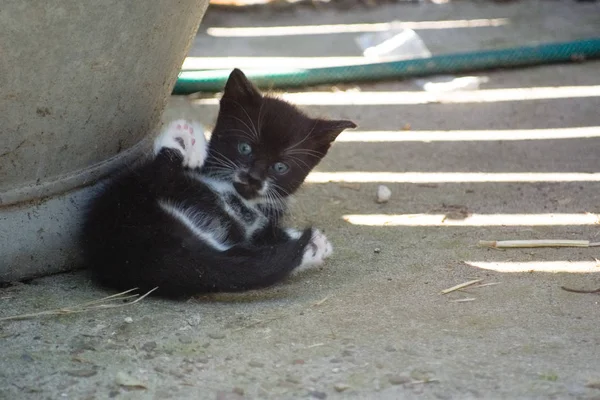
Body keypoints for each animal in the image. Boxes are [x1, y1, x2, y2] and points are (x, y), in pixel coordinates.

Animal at [82, 69, 358, 298]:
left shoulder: (253, 227)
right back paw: (181, 140)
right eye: (244, 148)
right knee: (155, 175)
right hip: (133, 201)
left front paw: (304, 240)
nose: (253, 177)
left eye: (281, 167)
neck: (238, 198)